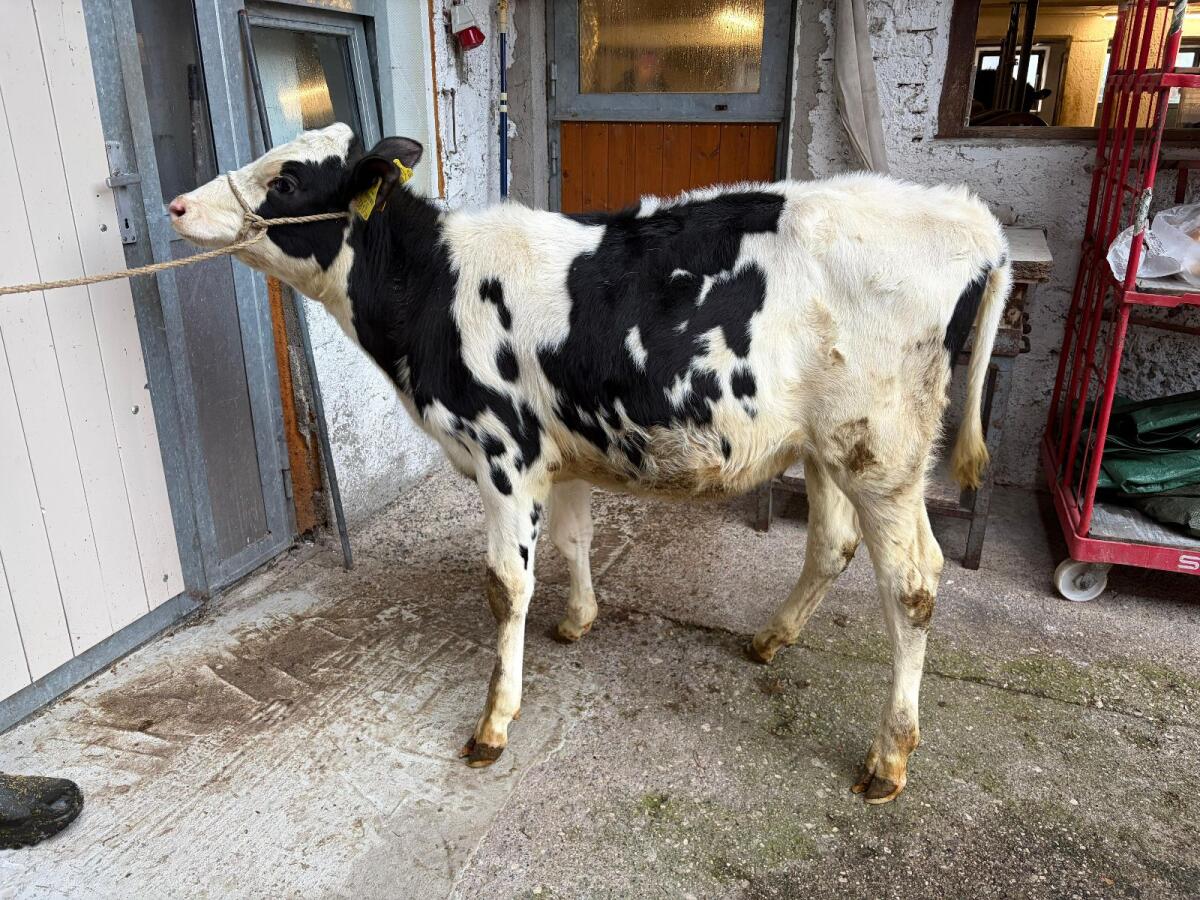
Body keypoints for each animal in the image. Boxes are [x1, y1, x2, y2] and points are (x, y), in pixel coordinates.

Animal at [169, 122, 1010, 805]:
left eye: (285, 180)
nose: (176, 205)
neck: (432, 287)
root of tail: (967, 216)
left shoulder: (503, 452)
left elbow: (505, 586)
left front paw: (494, 722)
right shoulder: (561, 451)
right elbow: (573, 541)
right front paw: (577, 620)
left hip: (882, 452)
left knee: (913, 586)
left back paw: (888, 757)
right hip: (829, 447)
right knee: (832, 543)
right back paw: (772, 639)